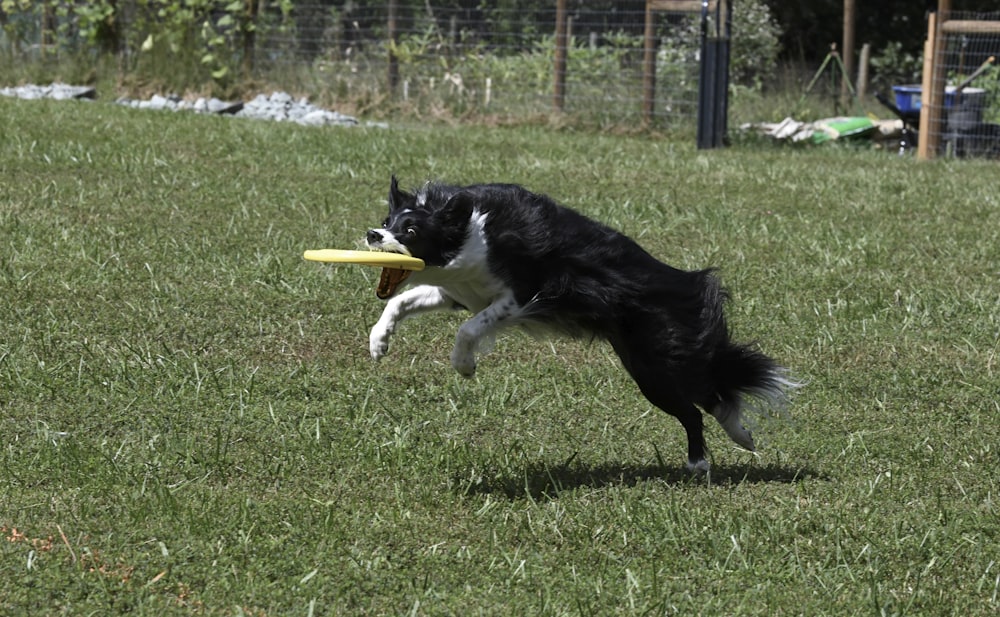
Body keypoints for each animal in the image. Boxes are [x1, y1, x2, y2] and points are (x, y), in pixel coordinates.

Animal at [364, 178, 792, 472]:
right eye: (386, 220)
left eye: (411, 231)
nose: (372, 234)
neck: (471, 231)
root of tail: (685, 285)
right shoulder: (460, 292)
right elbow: (400, 301)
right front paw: (378, 342)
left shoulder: (522, 295)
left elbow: (469, 329)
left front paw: (464, 365)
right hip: (646, 365)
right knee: (711, 395)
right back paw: (742, 437)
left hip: (657, 365)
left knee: (698, 405)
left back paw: (700, 463)